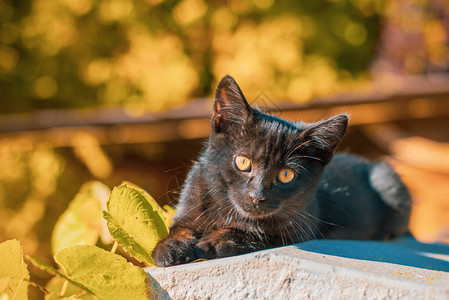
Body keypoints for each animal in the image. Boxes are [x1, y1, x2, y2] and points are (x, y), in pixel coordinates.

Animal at [152, 75, 412, 268]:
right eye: (243, 162)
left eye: (286, 175)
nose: (257, 196)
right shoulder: (191, 199)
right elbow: (180, 228)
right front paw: (170, 247)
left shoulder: (300, 226)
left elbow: (255, 233)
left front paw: (213, 241)